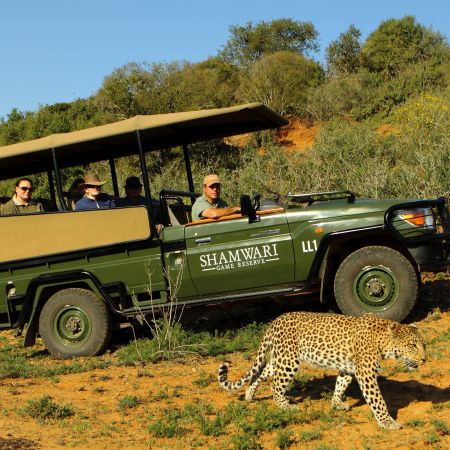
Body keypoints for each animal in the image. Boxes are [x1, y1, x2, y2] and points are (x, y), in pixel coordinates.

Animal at [218, 312, 426, 430]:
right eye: (412, 345)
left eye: (423, 345)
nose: (425, 359)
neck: (384, 343)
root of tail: (275, 321)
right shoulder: (366, 374)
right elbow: (378, 400)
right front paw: (387, 422)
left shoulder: (347, 367)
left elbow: (341, 384)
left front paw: (336, 403)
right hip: (289, 361)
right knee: (276, 385)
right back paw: (286, 406)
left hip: (279, 358)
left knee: (261, 373)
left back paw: (249, 395)